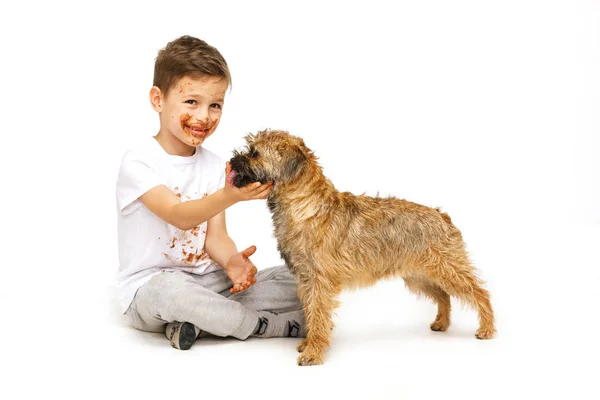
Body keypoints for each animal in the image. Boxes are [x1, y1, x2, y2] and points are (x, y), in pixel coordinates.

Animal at [227, 129, 494, 366]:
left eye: (254, 153)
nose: (232, 159)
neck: (305, 206)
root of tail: (442, 216)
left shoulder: (320, 282)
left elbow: (319, 314)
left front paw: (314, 353)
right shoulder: (306, 280)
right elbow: (311, 313)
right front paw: (309, 343)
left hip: (447, 270)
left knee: (479, 293)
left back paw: (487, 328)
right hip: (419, 276)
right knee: (443, 296)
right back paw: (442, 322)